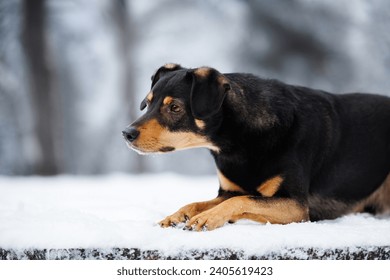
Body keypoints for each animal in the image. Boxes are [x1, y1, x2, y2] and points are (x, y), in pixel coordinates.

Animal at [122, 64, 390, 232]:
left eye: (175, 107)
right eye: (147, 103)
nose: (127, 134)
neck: (239, 142)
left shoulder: (296, 206)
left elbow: (242, 201)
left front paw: (208, 217)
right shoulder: (227, 191)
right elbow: (199, 202)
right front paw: (178, 215)